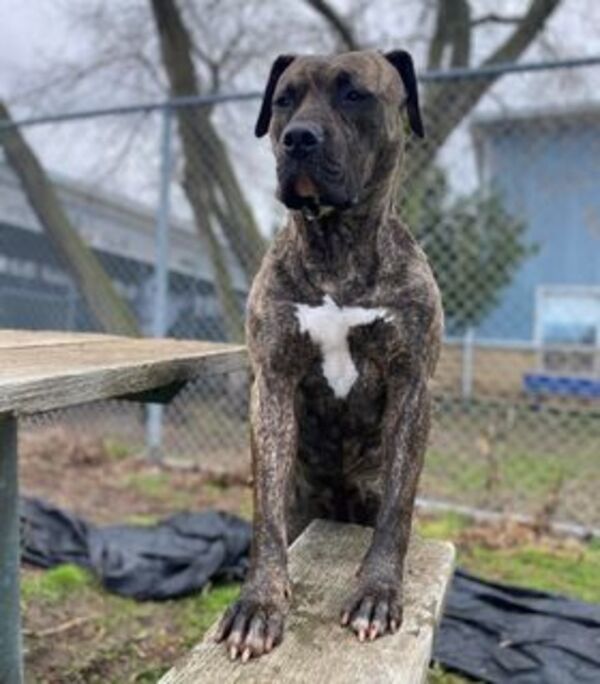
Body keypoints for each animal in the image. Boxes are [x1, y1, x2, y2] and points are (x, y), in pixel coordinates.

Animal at [214, 49, 440, 664]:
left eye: (354, 94)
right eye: (284, 100)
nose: (299, 138)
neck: (337, 248)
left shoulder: (412, 383)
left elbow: (397, 509)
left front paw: (377, 592)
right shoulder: (272, 382)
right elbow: (264, 517)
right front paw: (260, 603)